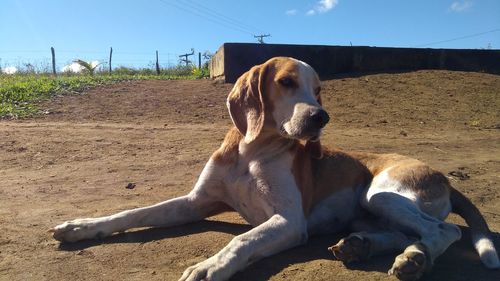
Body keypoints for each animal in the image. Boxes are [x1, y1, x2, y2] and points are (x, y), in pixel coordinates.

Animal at [51, 57, 500, 280]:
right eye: (286, 83)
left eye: (318, 90)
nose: (321, 117)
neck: (249, 152)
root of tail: (442, 175)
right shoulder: (196, 202)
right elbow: (133, 212)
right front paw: (82, 227)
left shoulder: (288, 221)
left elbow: (242, 240)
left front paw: (210, 265)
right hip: (371, 210)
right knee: (406, 232)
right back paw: (369, 247)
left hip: (382, 194)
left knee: (445, 231)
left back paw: (416, 259)